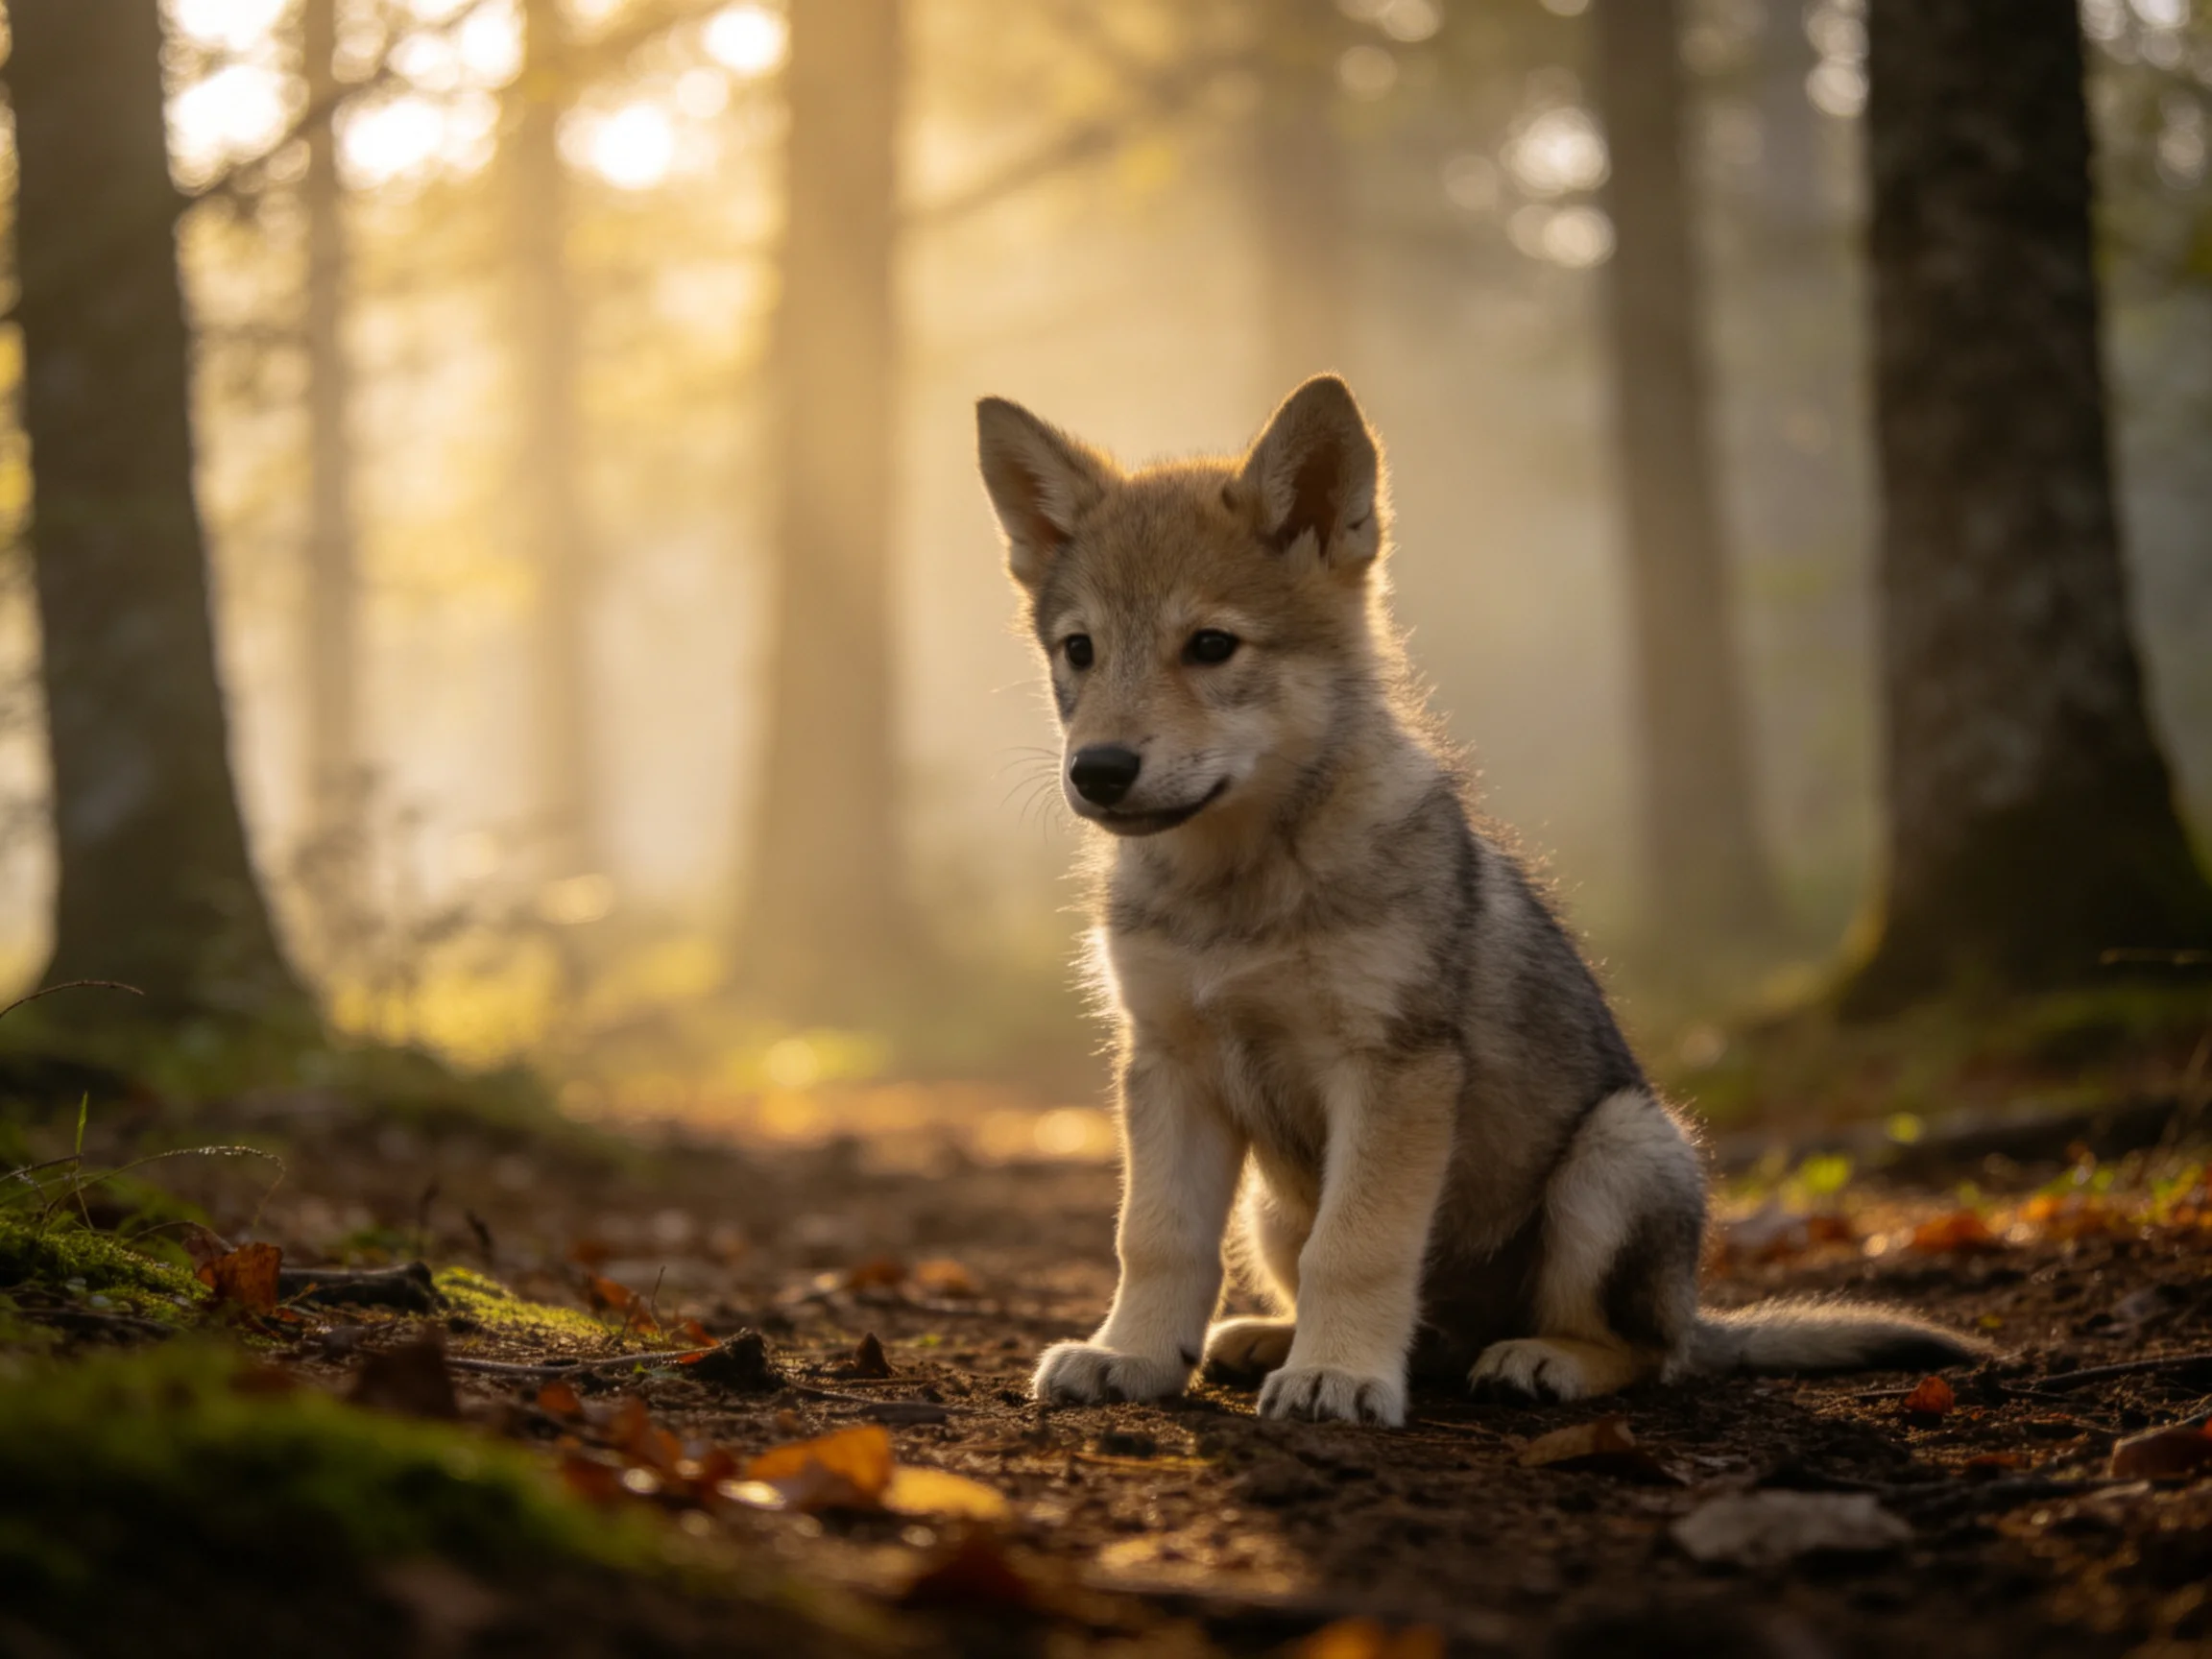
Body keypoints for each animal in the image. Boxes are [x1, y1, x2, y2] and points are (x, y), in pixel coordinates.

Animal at [975, 376, 1983, 1426]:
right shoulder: (1168, 1063)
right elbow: (1154, 1237)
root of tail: (1699, 1313)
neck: (1235, 889)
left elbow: (1358, 1246)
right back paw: (1271, 1339)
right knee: (1418, 1328)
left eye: (1211, 646)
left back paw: (1539, 1359)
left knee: (1643, 1353)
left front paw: (1339, 1376)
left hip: (1619, 1152)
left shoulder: (1394, 1068)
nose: (1097, 770)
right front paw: (1128, 1355)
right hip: (1269, 1205)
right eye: (1079, 651)